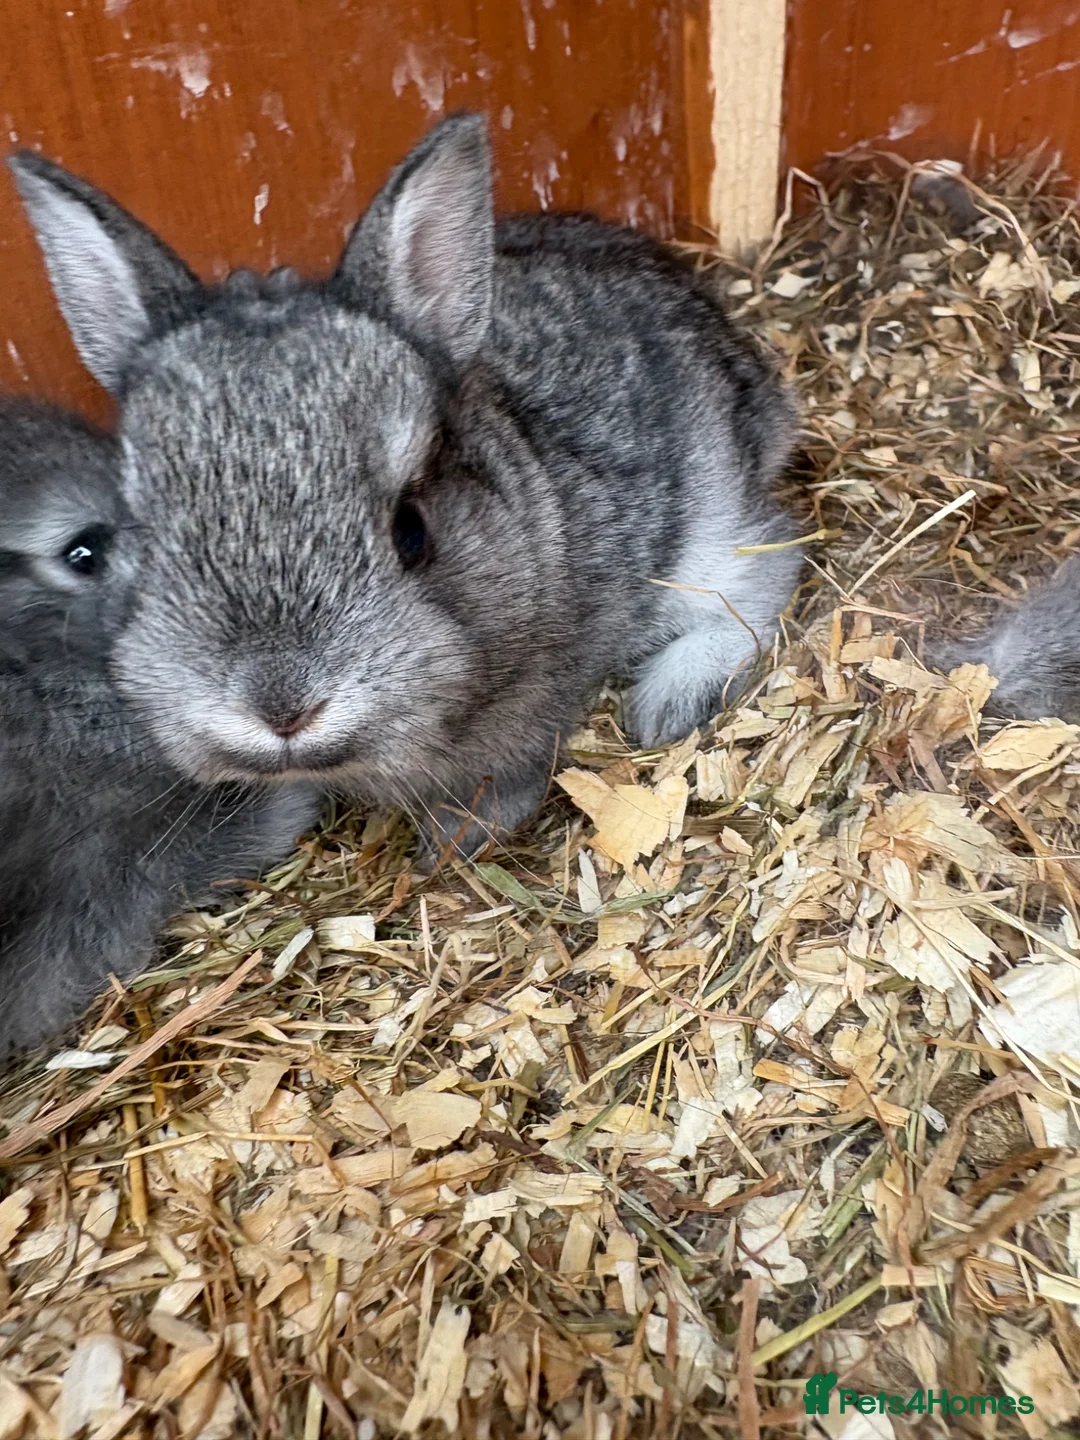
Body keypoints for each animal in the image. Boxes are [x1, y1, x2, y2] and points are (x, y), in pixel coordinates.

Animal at [7, 112, 801, 859]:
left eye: (411, 531)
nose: (283, 708)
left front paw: (455, 841)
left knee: (766, 565)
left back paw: (671, 702)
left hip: (708, 510)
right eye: (139, 542)